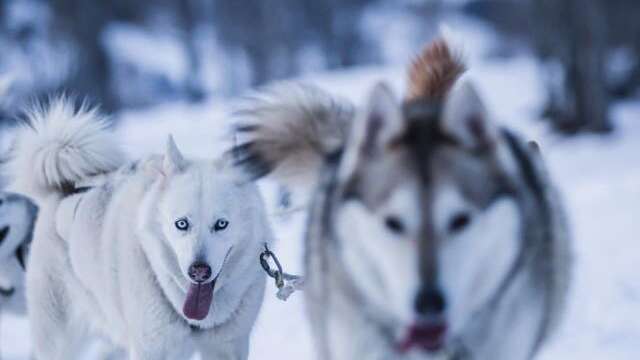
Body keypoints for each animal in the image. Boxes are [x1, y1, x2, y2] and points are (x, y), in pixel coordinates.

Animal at [7, 101, 272, 360]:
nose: (198, 271)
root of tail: (63, 189)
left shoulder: (227, 348)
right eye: (181, 223)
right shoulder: (151, 349)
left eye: (221, 224)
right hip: (60, 339)